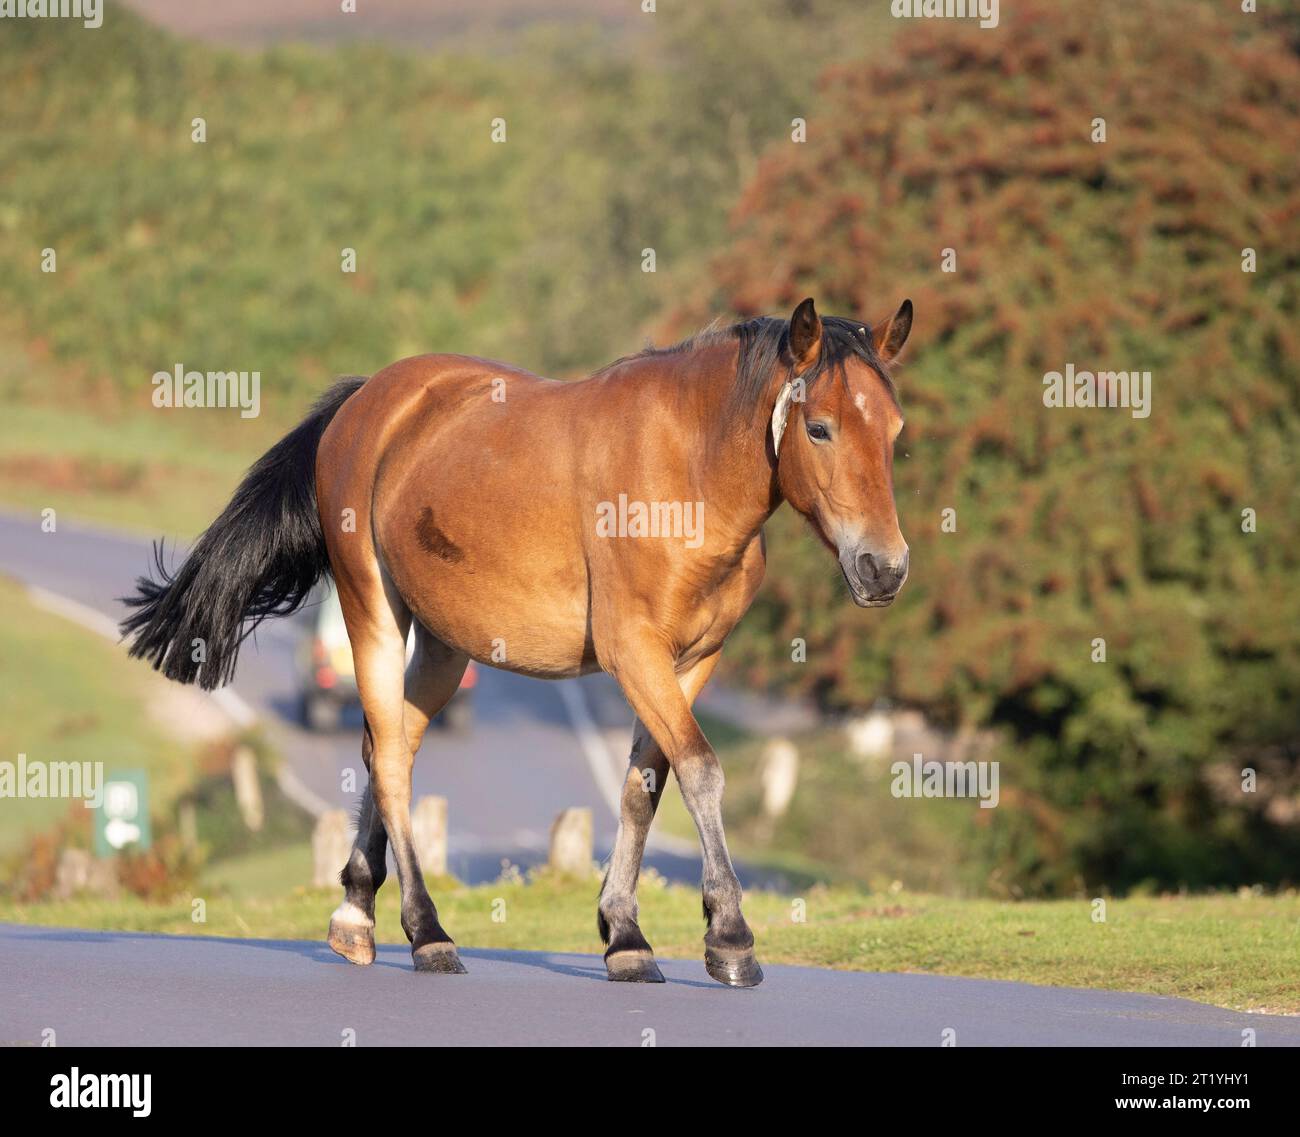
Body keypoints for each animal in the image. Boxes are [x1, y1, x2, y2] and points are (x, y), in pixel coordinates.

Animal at [122, 296, 912, 987]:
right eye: (820, 428)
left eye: (896, 431)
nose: (885, 568)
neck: (685, 469)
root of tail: (368, 398)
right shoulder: (636, 654)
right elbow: (701, 770)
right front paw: (730, 938)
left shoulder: (691, 663)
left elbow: (645, 786)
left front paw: (625, 936)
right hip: (374, 612)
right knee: (393, 760)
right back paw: (427, 931)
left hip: (445, 648)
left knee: (388, 745)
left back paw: (356, 912)